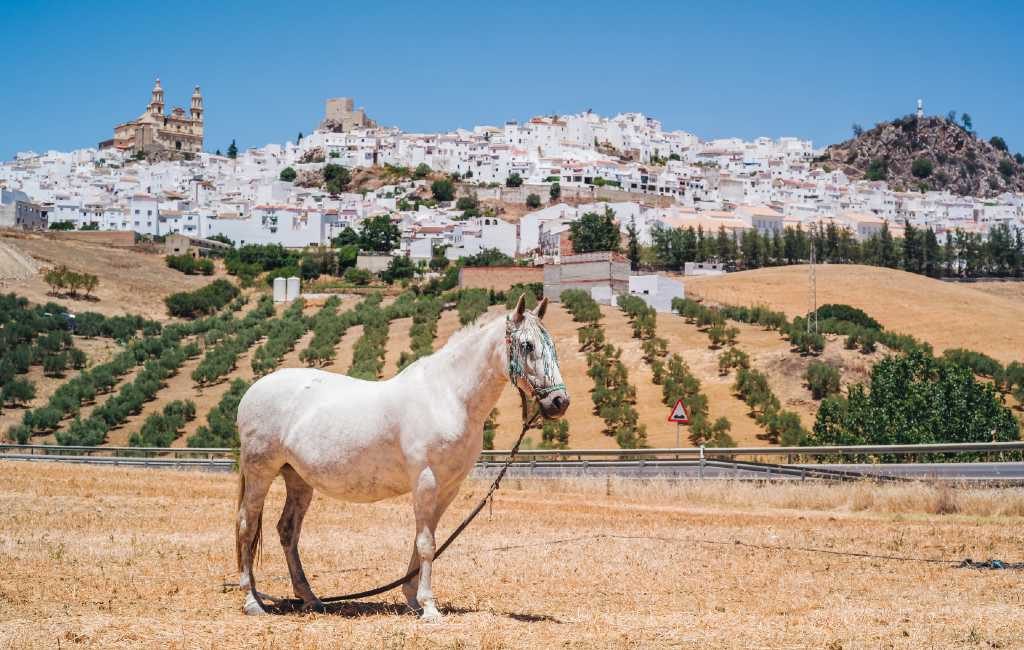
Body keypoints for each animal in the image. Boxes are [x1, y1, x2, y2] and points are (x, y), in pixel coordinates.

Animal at [234, 296, 569, 622]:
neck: (448, 396)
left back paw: (311, 599)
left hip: (297, 478)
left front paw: (413, 600)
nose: (559, 402)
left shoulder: (447, 487)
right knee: (246, 526)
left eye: (551, 344)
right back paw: (253, 602)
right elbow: (426, 543)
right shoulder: (425, 480)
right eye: (527, 345)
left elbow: (423, 540)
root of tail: (254, 390)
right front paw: (430, 608)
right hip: (260, 472)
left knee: (287, 531)